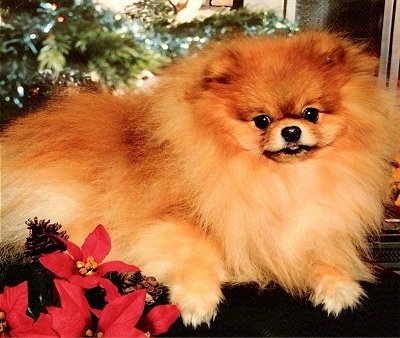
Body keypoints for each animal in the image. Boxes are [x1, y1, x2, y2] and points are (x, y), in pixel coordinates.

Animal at [0, 31, 400, 324]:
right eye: (262, 120)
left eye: (311, 113)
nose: (291, 131)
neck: (278, 182)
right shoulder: (174, 223)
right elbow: (199, 253)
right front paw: (197, 301)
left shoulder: (312, 228)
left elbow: (325, 256)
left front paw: (339, 287)